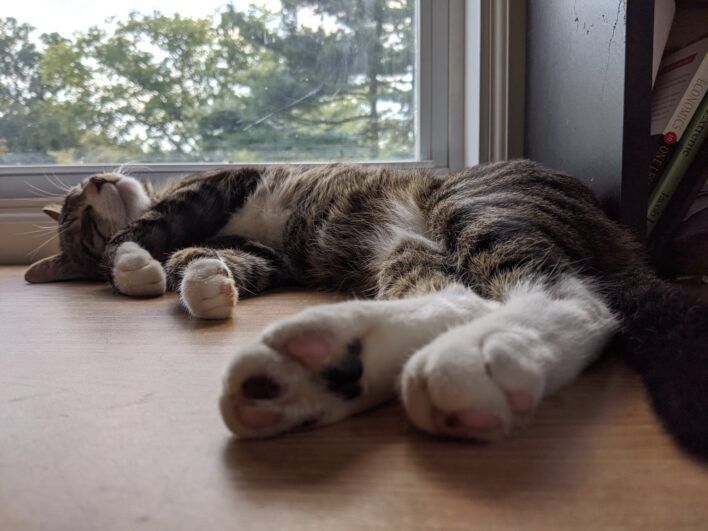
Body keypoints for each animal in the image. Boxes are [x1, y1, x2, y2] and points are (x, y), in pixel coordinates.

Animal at [23, 160, 708, 456]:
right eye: (80, 218)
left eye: (79, 199)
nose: (96, 180)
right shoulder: (261, 255)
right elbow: (194, 256)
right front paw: (187, 278)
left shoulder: (222, 179)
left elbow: (150, 223)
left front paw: (136, 264)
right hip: (410, 245)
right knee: (464, 296)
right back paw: (322, 372)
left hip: (473, 203)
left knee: (575, 299)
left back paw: (476, 353)